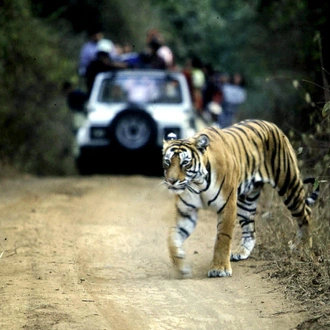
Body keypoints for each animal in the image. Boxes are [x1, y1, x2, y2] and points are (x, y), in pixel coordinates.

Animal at [162, 120, 320, 278]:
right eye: (167, 162)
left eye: (185, 163)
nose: (171, 181)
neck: (197, 183)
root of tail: (271, 124)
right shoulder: (186, 212)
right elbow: (173, 238)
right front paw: (182, 267)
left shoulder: (227, 206)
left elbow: (222, 238)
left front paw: (219, 269)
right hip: (246, 200)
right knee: (250, 229)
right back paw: (241, 252)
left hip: (289, 184)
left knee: (306, 213)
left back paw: (303, 246)